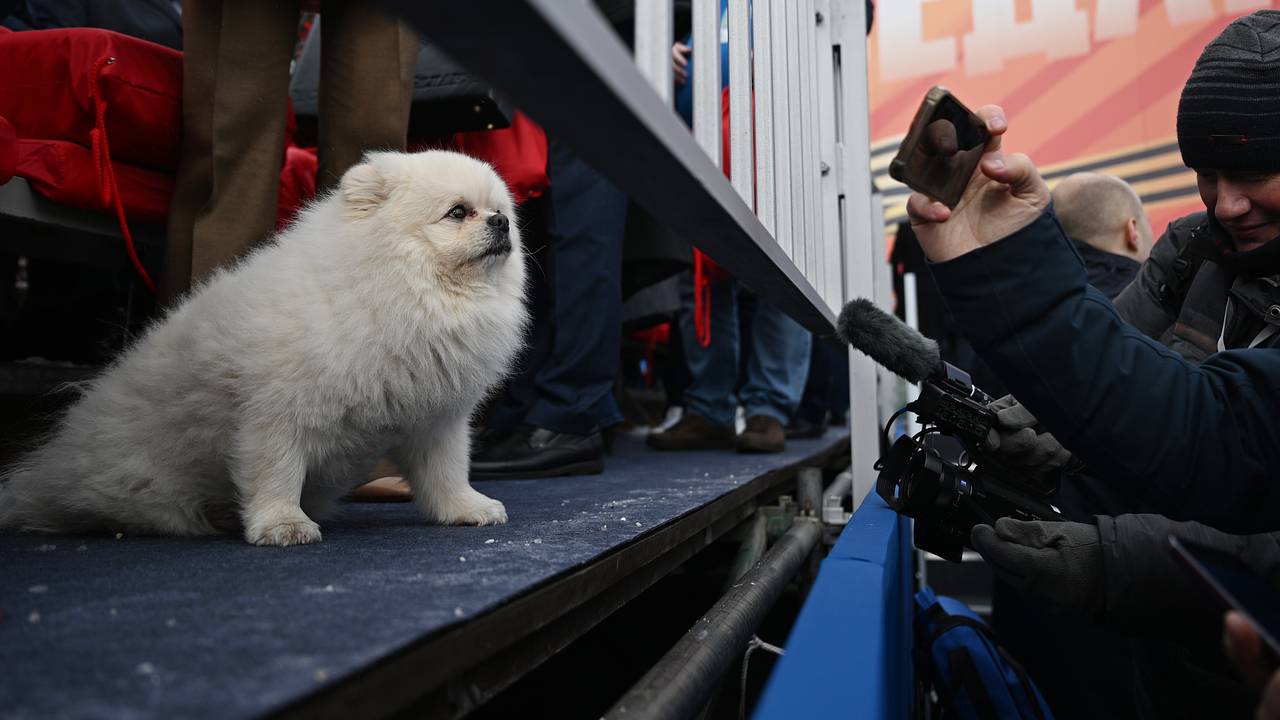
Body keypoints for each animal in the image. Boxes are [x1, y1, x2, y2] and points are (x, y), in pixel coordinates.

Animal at [0, 151, 524, 543]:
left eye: (500, 209)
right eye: (457, 212)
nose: (501, 222)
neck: (402, 292)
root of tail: (47, 473)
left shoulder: (435, 417)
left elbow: (446, 473)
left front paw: (465, 508)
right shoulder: (277, 414)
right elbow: (276, 473)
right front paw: (282, 525)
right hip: (142, 486)